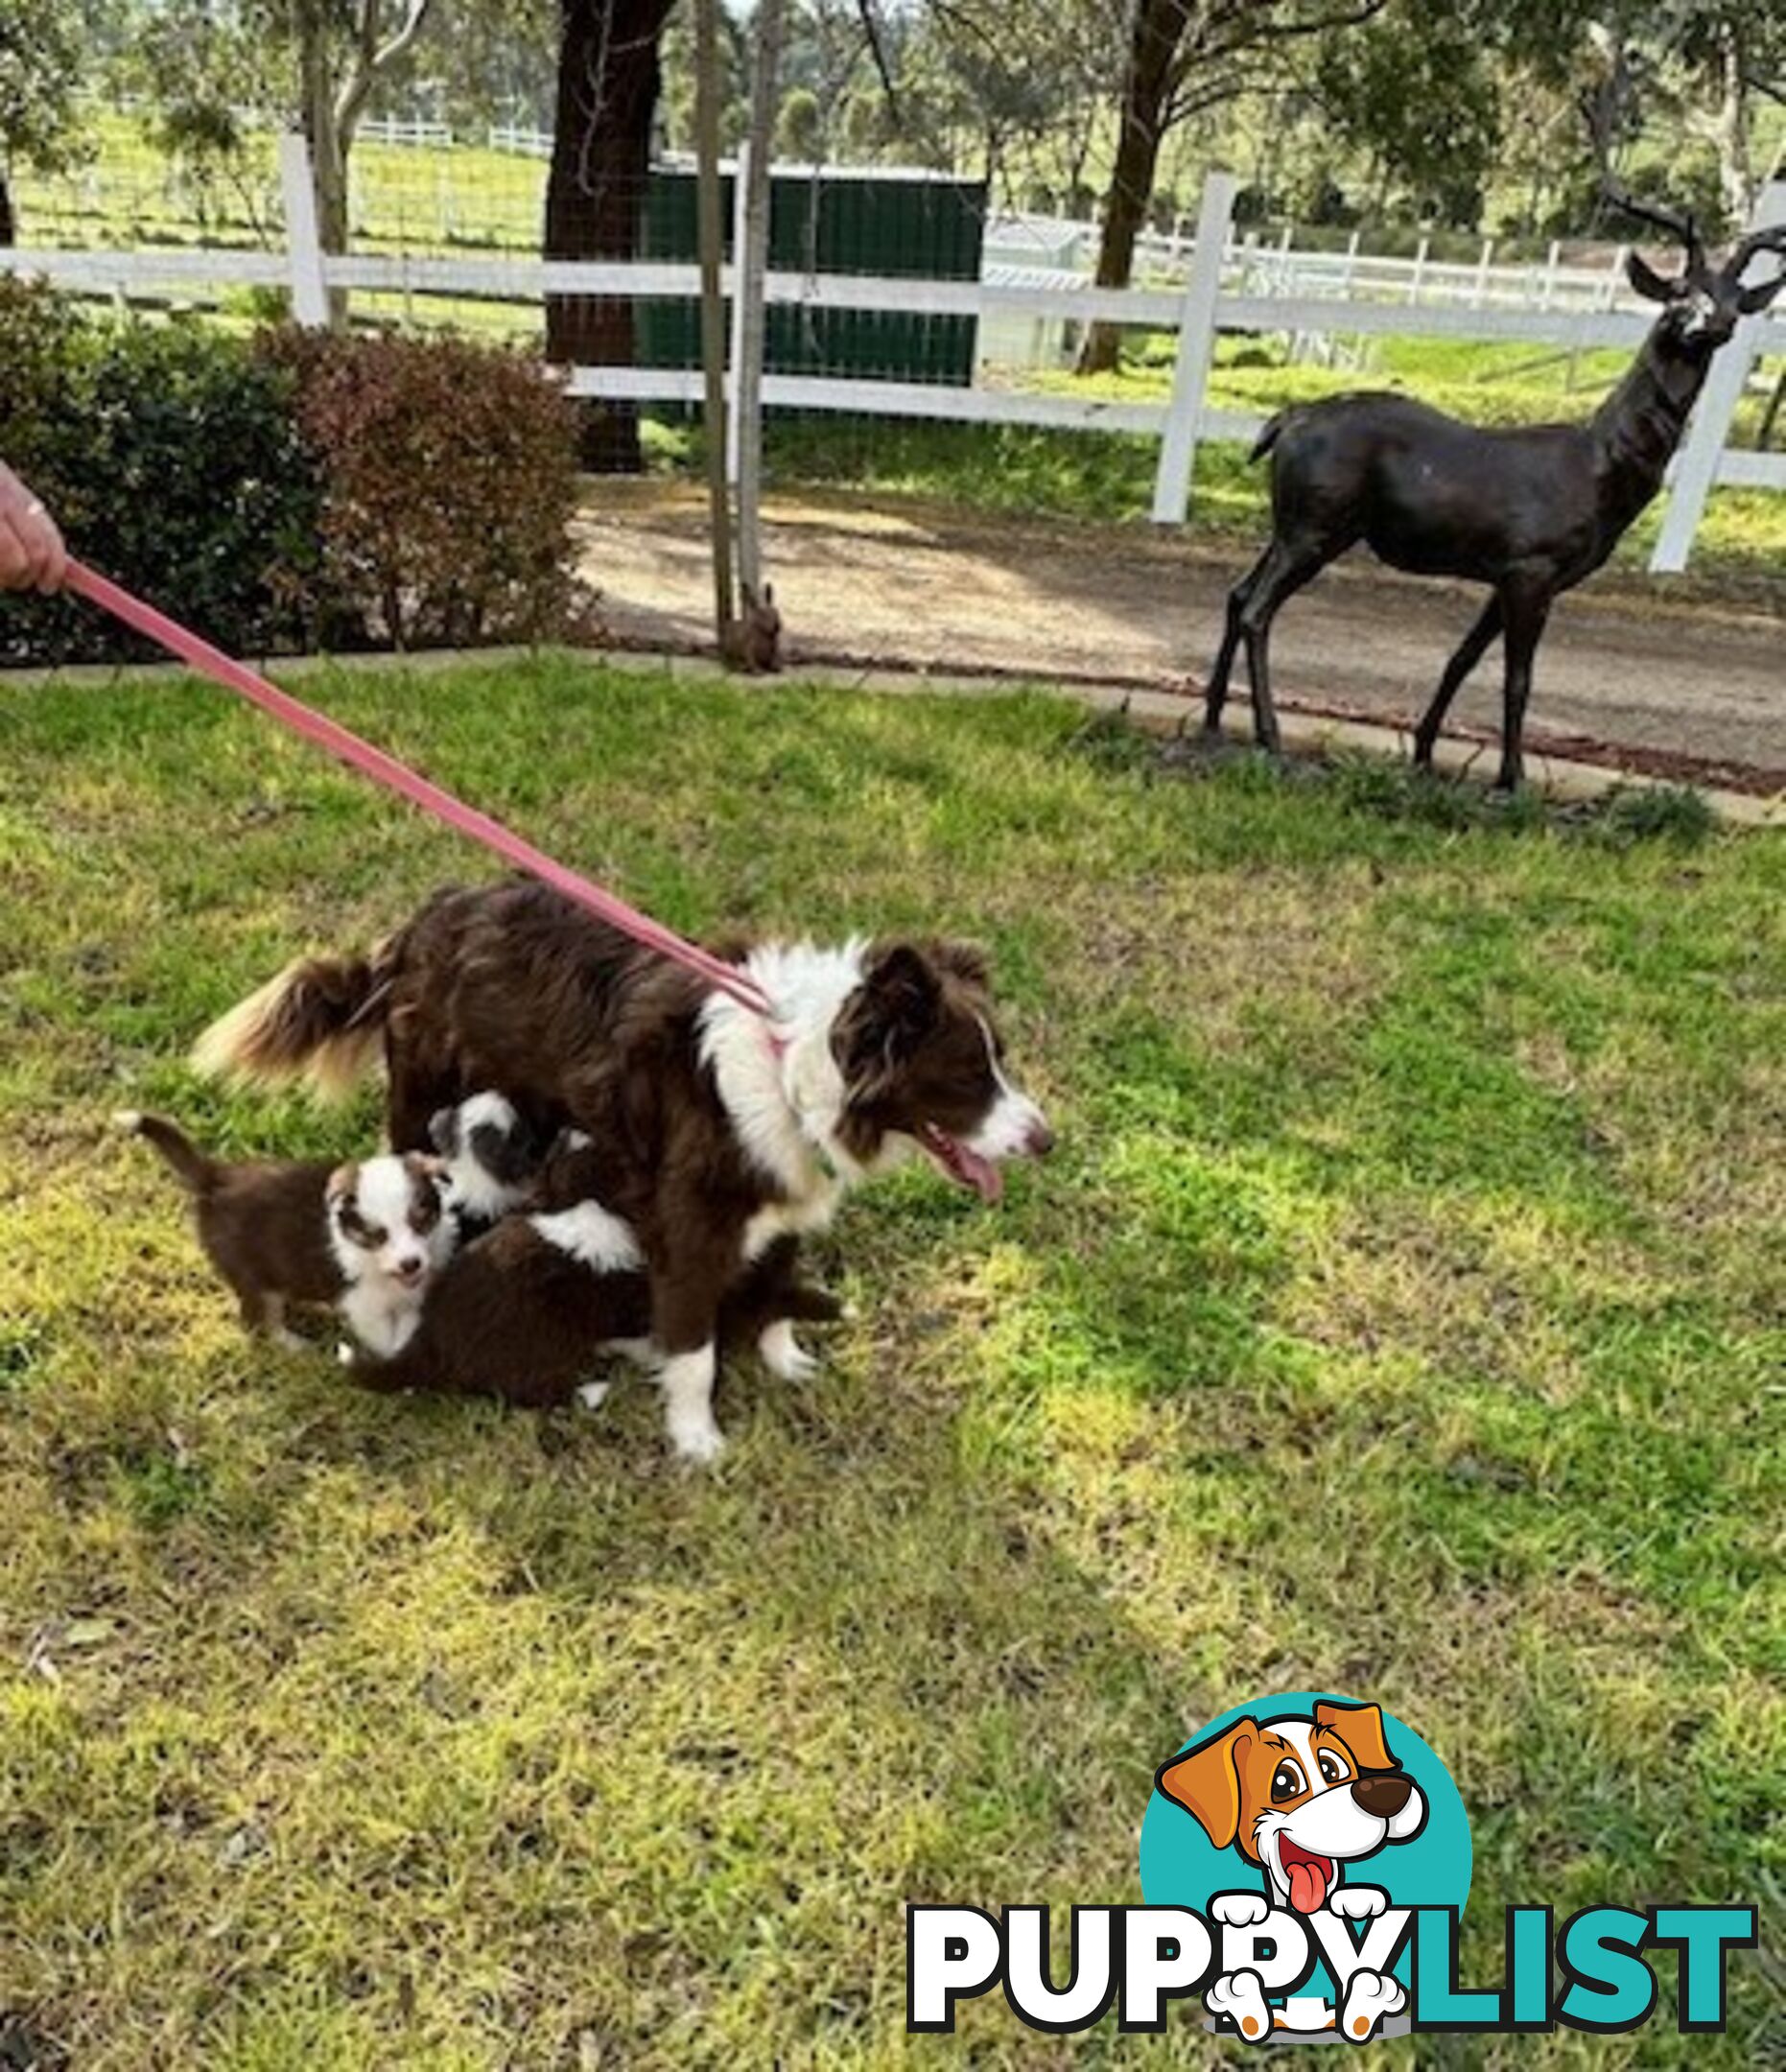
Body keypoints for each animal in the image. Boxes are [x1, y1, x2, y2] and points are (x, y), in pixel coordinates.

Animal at [192, 883, 1060, 1467]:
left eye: (1001, 1061)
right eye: (967, 1075)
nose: (1047, 1140)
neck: (792, 1066)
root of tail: (418, 923)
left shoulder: (778, 1204)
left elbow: (778, 1292)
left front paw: (787, 1362)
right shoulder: (688, 1227)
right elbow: (694, 1349)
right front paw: (698, 1440)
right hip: (421, 1093)